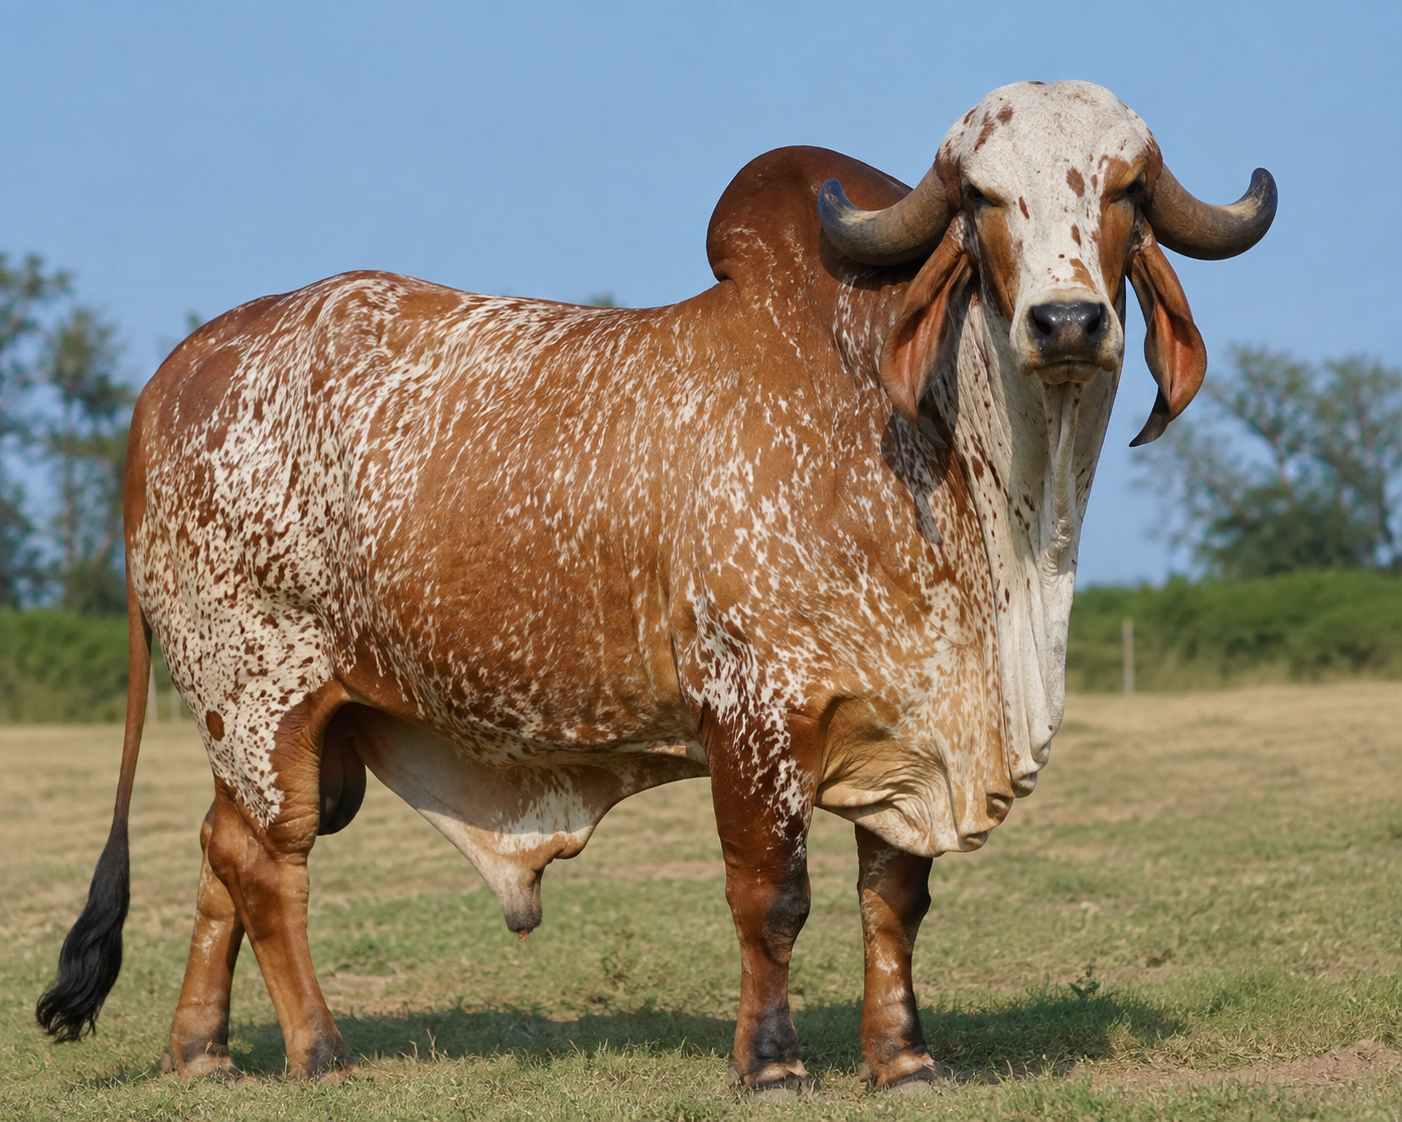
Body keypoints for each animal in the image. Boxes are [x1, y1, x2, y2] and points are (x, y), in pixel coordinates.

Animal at [37, 81, 1274, 1092]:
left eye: (1123, 192)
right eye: (981, 200)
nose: (1067, 322)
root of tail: (169, 381)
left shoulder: (904, 727)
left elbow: (894, 903)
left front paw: (903, 1060)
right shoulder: (752, 713)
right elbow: (772, 898)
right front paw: (769, 1064)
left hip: (286, 724)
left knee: (218, 857)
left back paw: (200, 1053)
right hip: (260, 698)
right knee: (266, 865)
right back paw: (319, 1051)